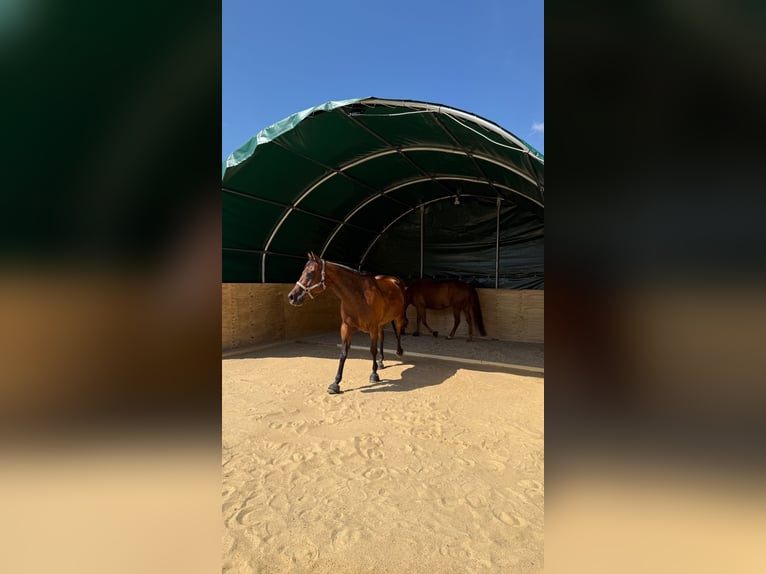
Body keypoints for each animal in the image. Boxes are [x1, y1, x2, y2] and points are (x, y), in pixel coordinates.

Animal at [287, 252, 407, 394]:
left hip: (397, 318)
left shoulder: (372, 327)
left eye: (310, 272)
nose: (292, 297)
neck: (359, 297)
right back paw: (380, 362)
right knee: (382, 338)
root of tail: (394, 280)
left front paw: (374, 375)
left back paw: (398, 352)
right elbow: (343, 353)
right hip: (380, 324)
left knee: (398, 333)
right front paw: (335, 383)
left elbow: (372, 350)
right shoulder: (346, 327)